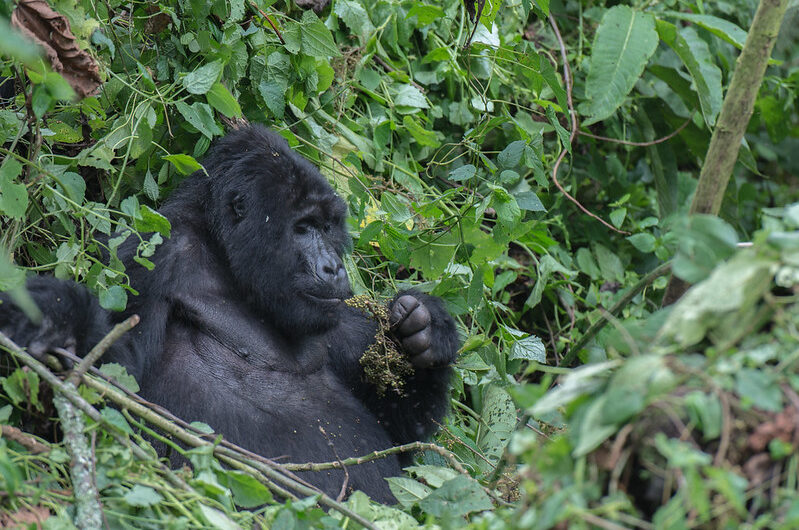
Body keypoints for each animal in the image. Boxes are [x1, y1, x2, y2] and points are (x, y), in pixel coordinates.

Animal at [0, 122, 460, 500]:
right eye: (303, 227)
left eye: (329, 227)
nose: (333, 266)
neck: (226, 259)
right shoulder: (153, 253)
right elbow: (115, 383)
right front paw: (60, 317)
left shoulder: (337, 312)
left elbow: (406, 438)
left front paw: (426, 329)